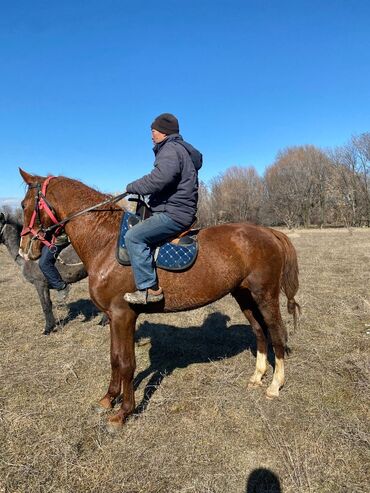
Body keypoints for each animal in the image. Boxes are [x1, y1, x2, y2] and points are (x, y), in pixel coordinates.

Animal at [18, 169, 300, 430]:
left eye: (23, 205)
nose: (24, 250)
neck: (106, 242)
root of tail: (269, 232)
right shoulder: (112, 317)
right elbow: (114, 358)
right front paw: (108, 399)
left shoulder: (123, 315)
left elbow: (126, 363)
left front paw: (123, 413)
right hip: (244, 296)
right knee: (259, 332)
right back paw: (257, 377)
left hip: (265, 296)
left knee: (276, 333)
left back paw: (274, 385)